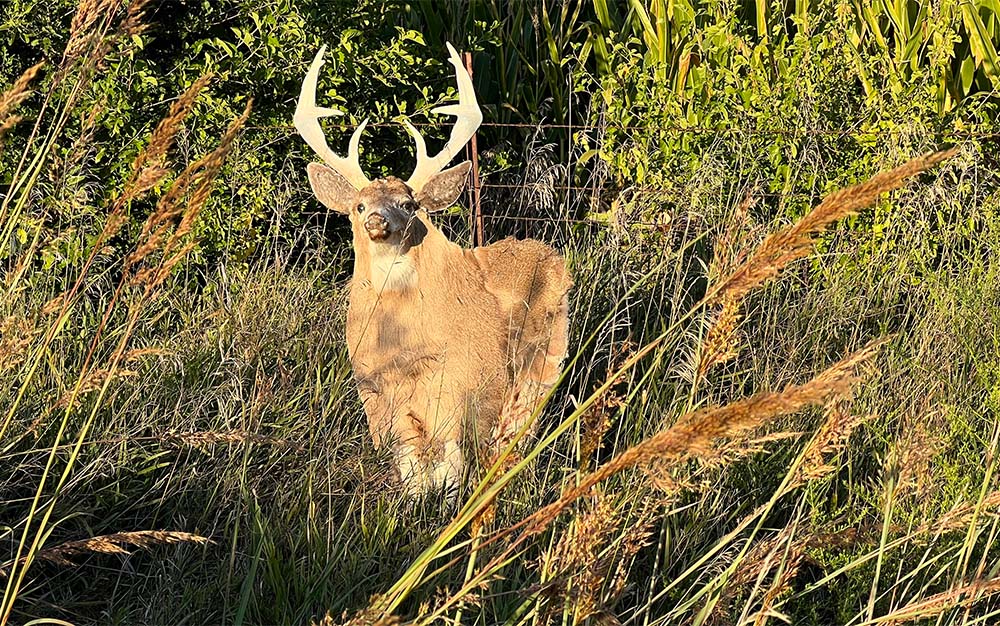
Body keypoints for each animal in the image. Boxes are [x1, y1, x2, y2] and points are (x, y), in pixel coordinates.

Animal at [294, 43, 572, 496]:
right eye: (359, 205)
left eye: (409, 204)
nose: (377, 221)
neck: (403, 346)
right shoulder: (373, 393)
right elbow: (406, 466)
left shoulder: (463, 385)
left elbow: (450, 469)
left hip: (542, 361)